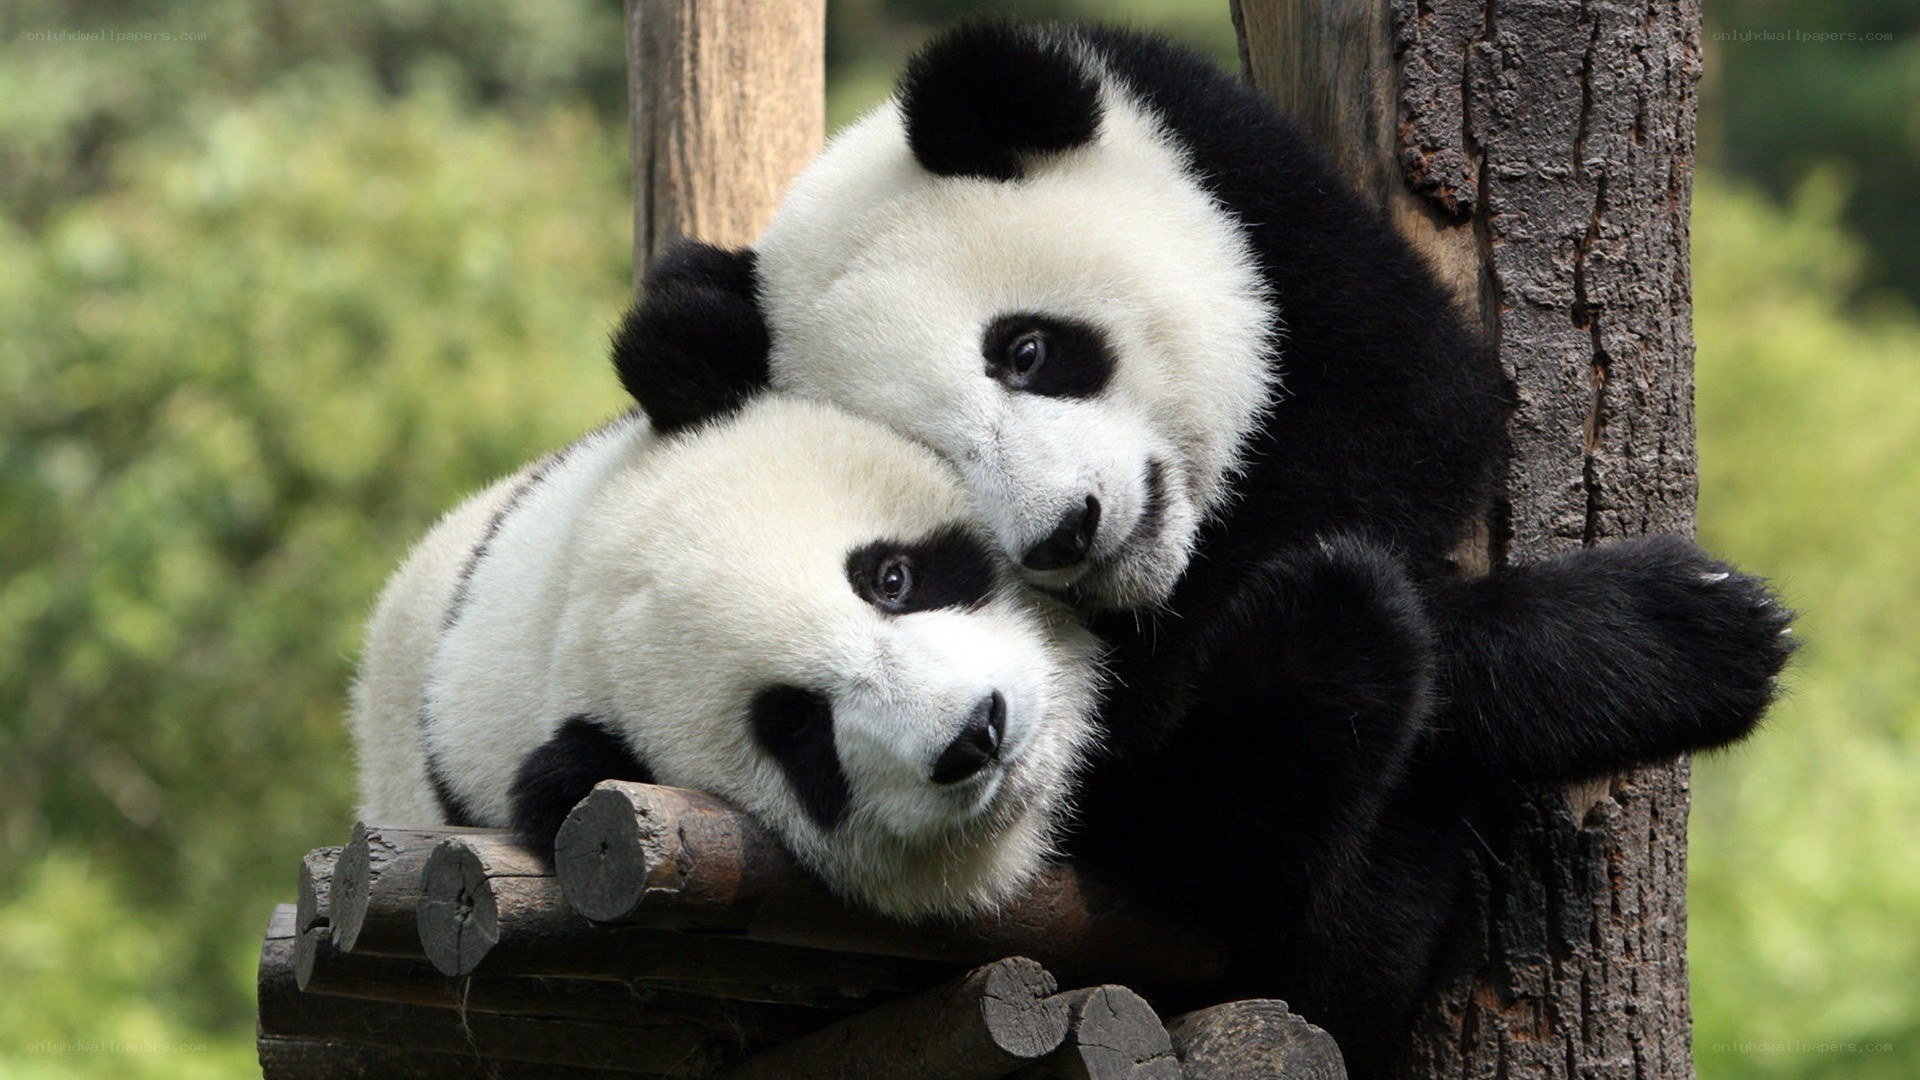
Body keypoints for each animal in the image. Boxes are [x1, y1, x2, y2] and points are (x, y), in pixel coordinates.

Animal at [612, 21, 1796, 1072]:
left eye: (1027, 350)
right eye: (934, 458)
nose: (1068, 531)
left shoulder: (1256, 197)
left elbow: (1411, 412)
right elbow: (1169, 765)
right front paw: (1679, 635)